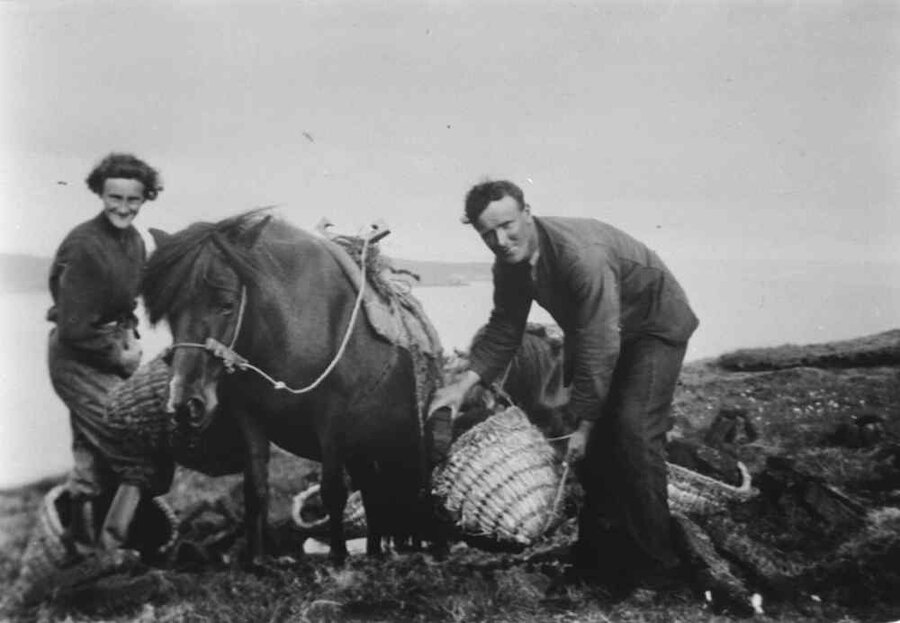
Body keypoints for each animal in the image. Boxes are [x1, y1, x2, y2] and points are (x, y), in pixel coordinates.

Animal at [142, 212, 434, 568]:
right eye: (171, 311)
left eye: (227, 304)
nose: (186, 405)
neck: (289, 336)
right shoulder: (251, 420)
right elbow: (255, 490)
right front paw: (257, 561)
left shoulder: (332, 424)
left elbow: (332, 490)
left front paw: (337, 557)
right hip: (363, 449)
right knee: (372, 493)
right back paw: (375, 552)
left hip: (405, 443)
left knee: (412, 494)